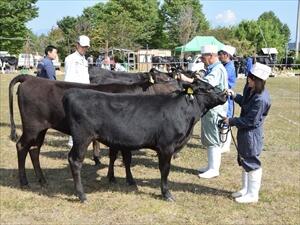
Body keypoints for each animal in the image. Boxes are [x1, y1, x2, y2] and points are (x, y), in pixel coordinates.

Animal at [9, 74, 180, 187]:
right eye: (166, 79)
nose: (181, 88)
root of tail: (30, 78)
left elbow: (115, 156)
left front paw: (112, 177)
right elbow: (125, 157)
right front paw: (129, 180)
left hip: (41, 129)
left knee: (34, 149)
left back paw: (42, 180)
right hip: (31, 126)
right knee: (21, 146)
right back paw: (24, 181)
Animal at [63, 80, 227, 202]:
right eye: (208, 88)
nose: (226, 94)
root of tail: (73, 93)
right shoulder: (166, 146)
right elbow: (165, 170)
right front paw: (166, 194)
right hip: (82, 137)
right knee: (75, 161)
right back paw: (82, 196)